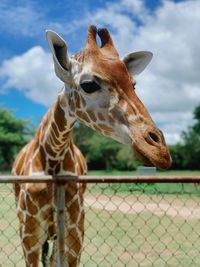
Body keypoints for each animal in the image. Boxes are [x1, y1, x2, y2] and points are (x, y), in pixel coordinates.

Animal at [12, 25, 172, 267]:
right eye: (88, 85)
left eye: (133, 85)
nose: (160, 152)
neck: (52, 156)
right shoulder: (29, 238)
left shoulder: (74, 236)